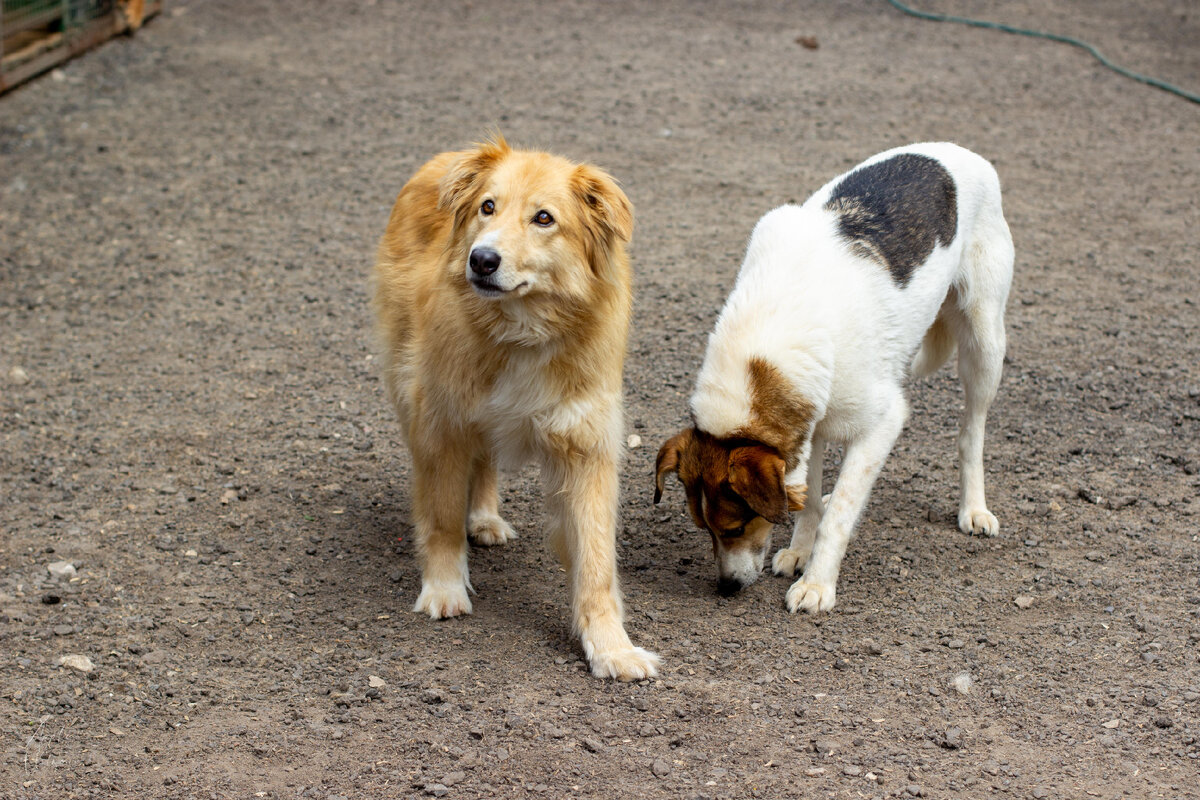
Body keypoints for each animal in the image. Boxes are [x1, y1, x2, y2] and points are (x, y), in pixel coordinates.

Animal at [372, 134, 662, 681]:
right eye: (488, 207)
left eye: (544, 218)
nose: (481, 259)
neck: (522, 329)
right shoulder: (441, 421)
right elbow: (441, 517)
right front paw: (444, 588)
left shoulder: (585, 444)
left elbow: (596, 562)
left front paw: (611, 647)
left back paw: (484, 517)